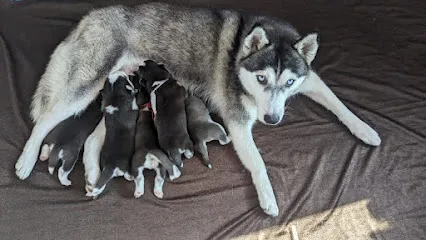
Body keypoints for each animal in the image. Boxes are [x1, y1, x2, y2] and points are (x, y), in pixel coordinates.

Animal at [87, 70, 139, 198]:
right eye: (125, 78)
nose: (121, 70)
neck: (115, 97)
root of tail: (110, 166)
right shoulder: (134, 108)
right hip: (126, 166)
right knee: (126, 175)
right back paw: (131, 177)